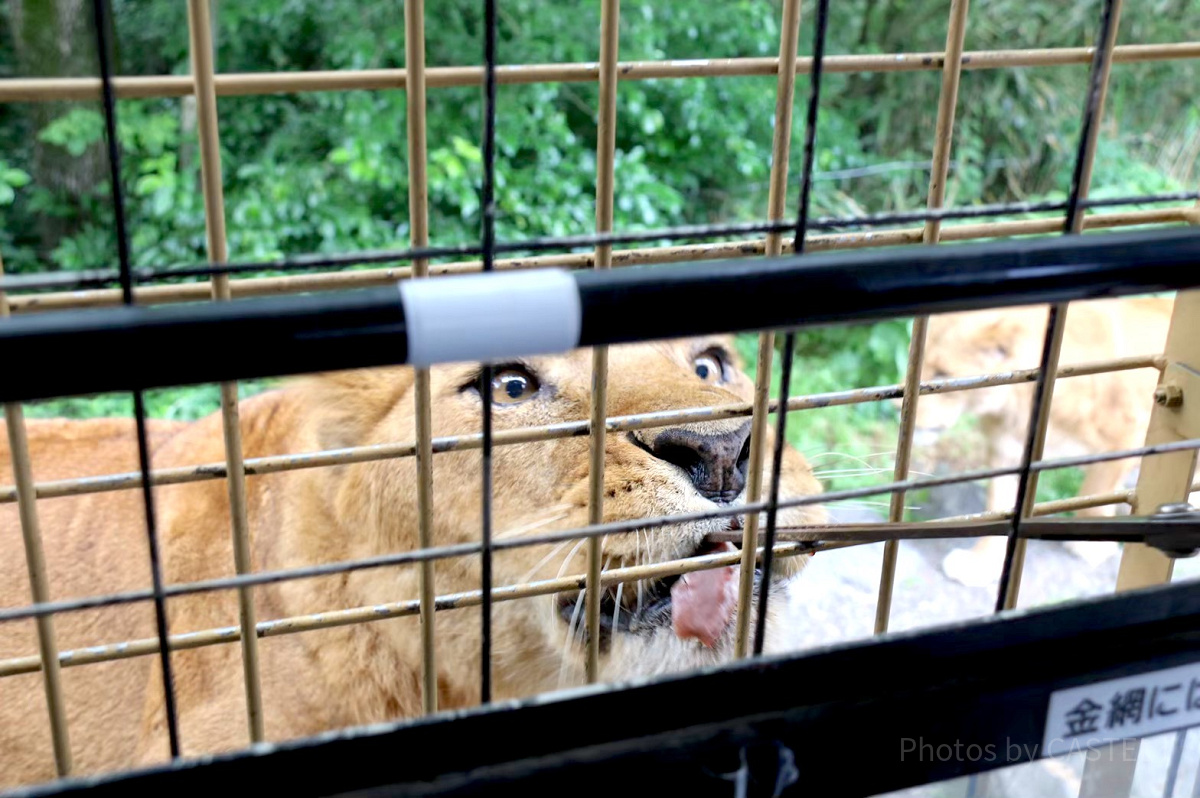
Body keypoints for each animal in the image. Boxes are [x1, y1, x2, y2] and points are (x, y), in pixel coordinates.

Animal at [912, 298, 1166, 585]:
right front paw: (980, 563)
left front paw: (1090, 547)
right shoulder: (1007, 448)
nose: (900, 409)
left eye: (942, 373)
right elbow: (1000, 503)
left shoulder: (1129, 433)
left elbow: (1096, 488)